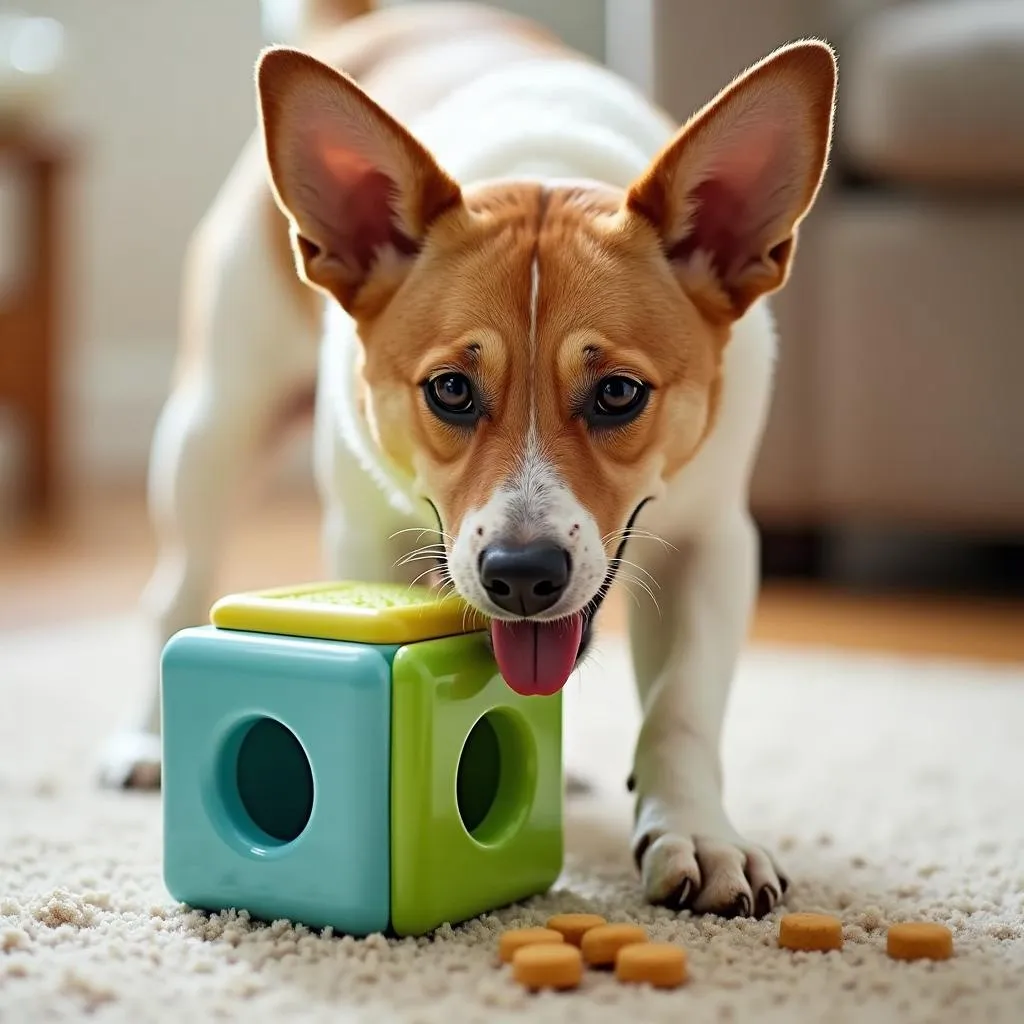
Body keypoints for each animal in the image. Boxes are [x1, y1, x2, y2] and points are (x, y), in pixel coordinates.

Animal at [101, 0, 839, 921]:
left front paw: (699, 835)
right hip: (210, 425)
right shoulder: (364, 537)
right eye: (451, 389)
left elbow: (682, 708)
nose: (521, 576)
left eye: (619, 393)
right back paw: (144, 739)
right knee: (173, 587)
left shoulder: (716, 540)